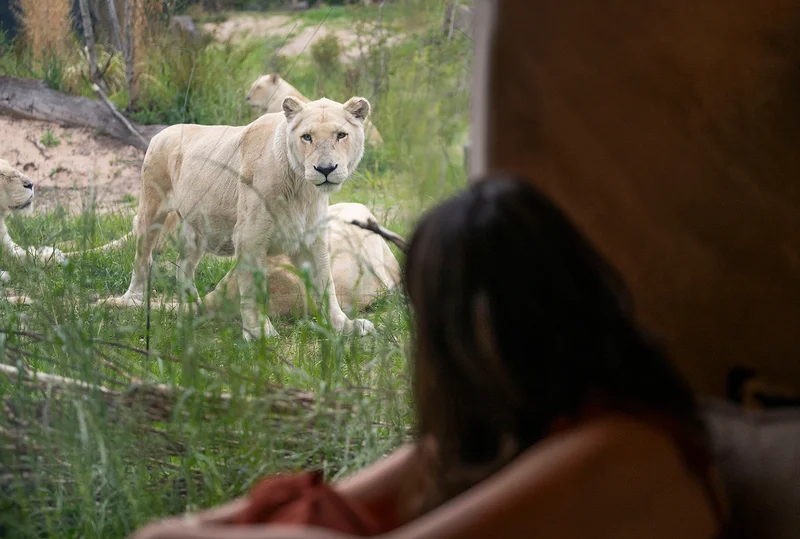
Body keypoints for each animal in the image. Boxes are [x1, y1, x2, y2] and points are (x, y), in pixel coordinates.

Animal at [113, 96, 378, 340]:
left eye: (341, 135)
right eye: (307, 137)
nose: (325, 169)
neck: (302, 188)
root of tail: (161, 133)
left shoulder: (311, 238)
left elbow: (325, 283)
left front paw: (344, 326)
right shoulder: (250, 237)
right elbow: (253, 287)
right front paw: (259, 333)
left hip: (198, 228)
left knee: (183, 266)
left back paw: (192, 307)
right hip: (152, 208)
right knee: (142, 257)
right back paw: (134, 299)